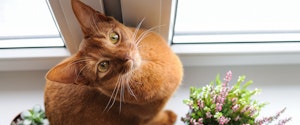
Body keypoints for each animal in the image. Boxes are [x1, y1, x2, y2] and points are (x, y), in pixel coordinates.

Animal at [44, 0, 183, 124]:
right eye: (103, 66)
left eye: (114, 37)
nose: (126, 56)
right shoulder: (146, 119)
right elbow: (158, 119)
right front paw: (169, 117)